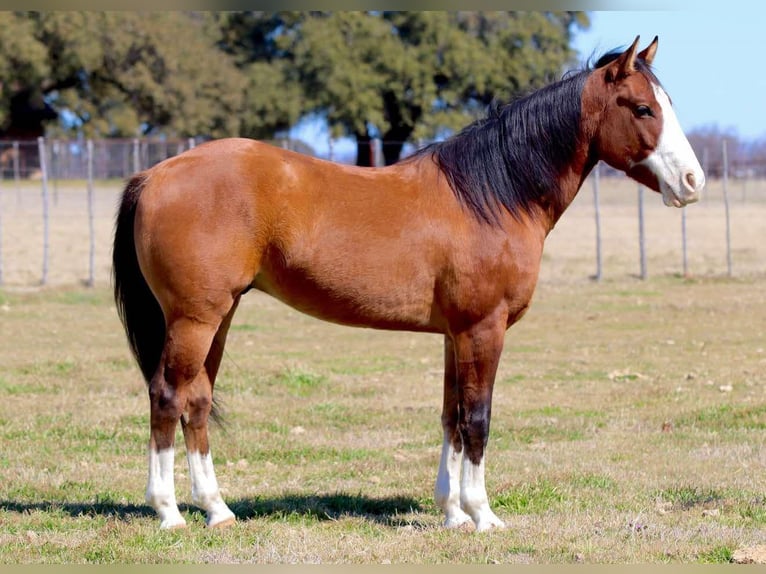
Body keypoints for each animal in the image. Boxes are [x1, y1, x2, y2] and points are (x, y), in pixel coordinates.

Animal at [112, 36, 704, 532]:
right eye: (644, 109)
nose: (693, 182)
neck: (492, 195)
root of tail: (155, 174)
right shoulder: (483, 330)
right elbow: (478, 420)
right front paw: (483, 515)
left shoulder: (454, 335)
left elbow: (450, 418)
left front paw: (453, 513)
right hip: (195, 318)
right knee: (168, 395)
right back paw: (169, 513)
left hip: (220, 315)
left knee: (197, 400)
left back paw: (217, 510)